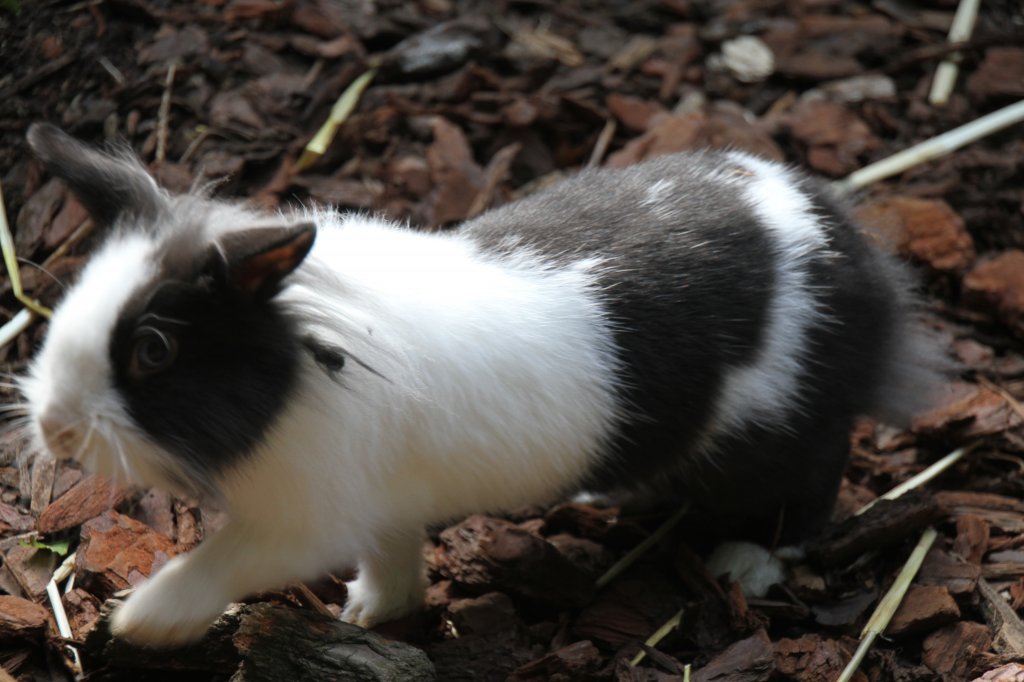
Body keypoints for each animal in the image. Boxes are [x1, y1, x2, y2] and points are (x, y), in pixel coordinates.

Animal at [19, 122, 937, 647]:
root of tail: (847, 250)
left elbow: (219, 564)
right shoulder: (380, 508)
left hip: (784, 428)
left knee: (809, 491)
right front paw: (373, 614)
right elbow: (393, 557)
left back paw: (746, 563)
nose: (55, 427)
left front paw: (140, 622)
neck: (299, 358)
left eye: (154, 349)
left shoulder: (298, 525)